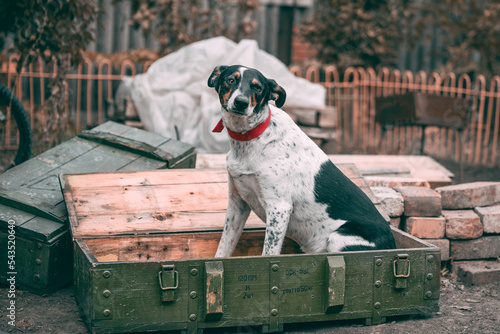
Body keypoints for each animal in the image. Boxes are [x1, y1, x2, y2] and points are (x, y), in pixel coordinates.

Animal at [207, 65, 394, 258]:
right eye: (230, 80)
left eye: (257, 88)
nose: (241, 102)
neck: (249, 138)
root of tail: (392, 244)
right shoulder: (237, 203)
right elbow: (223, 248)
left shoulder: (279, 208)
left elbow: (268, 253)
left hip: (338, 238)